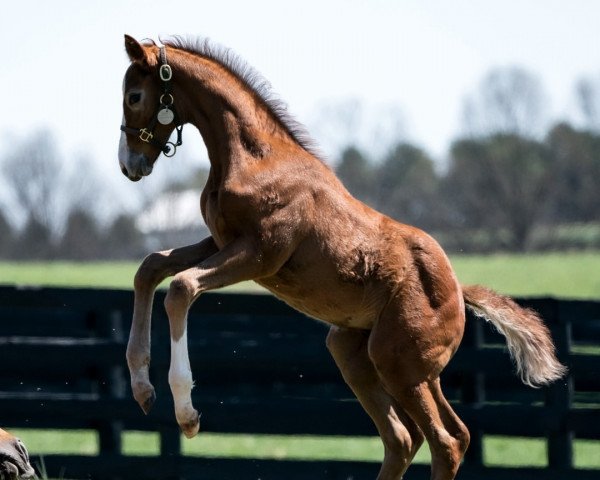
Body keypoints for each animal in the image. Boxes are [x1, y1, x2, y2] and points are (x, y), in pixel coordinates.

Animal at [118, 34, 568, 480]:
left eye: (134, 96)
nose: (128, 165)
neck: (256, 158)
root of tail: (459, 292)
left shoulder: (260, 253)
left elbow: (181, 287)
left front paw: (187, 413)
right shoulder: (219, 241)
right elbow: (150, 267)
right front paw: (142, 390)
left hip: (399, 362)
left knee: (444, 441)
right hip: (365, 356)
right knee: (409, 438)